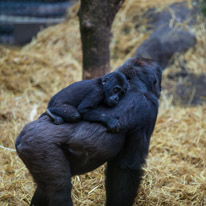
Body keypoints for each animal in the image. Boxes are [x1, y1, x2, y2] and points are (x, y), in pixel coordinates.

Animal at [15, 56, 162, 206]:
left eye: (121, 93)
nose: (160, 90)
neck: (134, 83)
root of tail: (21, 138)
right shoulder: (149, 108)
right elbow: (126, 167)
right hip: (40, 149)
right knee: (59, 190)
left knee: (45, 188)